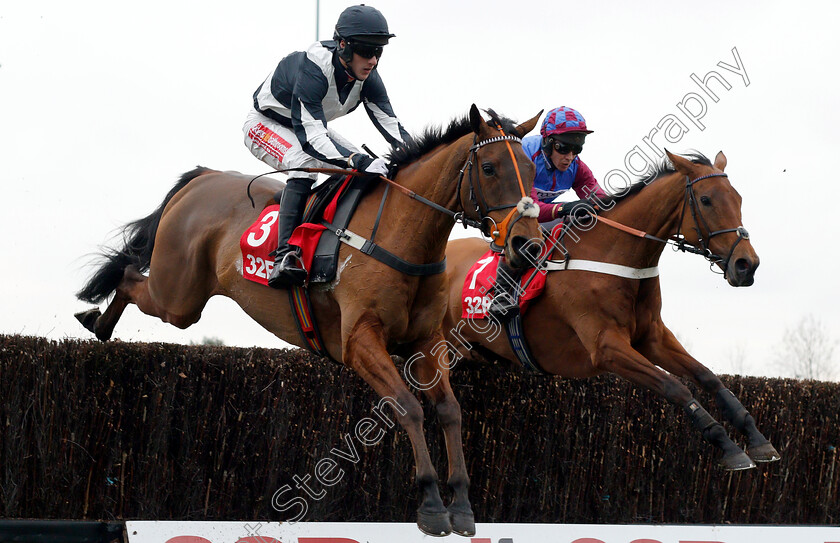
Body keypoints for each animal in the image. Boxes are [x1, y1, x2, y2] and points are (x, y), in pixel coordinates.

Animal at [79, 105, 544, 536]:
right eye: (489, 167)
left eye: (531, 169)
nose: (529, 245)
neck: (399, 235)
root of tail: (204, 177)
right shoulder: (359, 342)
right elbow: (408, 407)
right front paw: (430, 504)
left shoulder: (427, 343)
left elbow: (450, 411)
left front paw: (462, 506)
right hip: (177, 299)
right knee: (129, 277)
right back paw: (96, 322)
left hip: (180, 299)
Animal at [442, 150, 776, 472]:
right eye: (706, 200)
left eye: (738, 199)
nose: (747, 265)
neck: (615, 258)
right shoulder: (606, 347)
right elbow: (675, 387)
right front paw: (728, 447)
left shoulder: (653, 337)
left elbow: (708, 377)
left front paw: (758, 440)